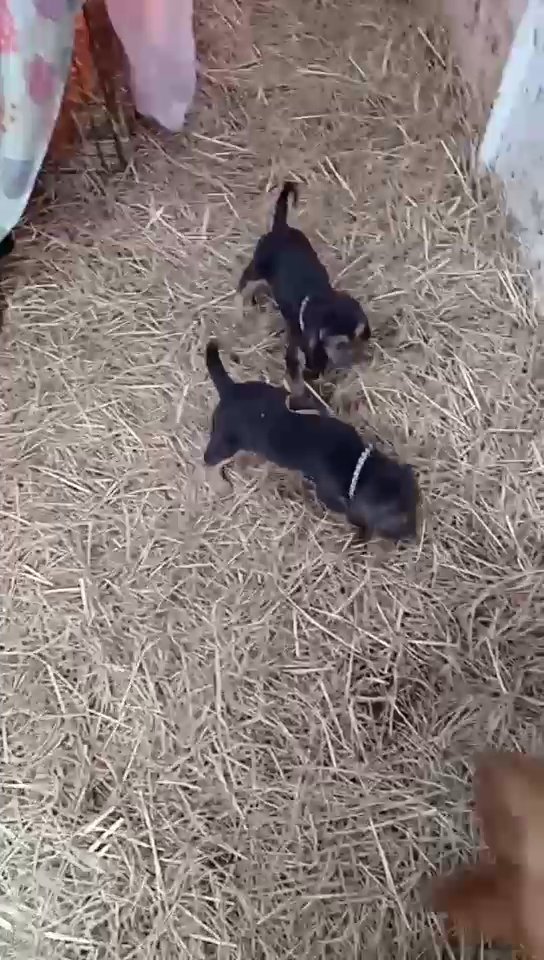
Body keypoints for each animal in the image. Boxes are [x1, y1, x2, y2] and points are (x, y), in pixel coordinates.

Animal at [202, 344, 418, 540]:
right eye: (401, 519)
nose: (414, 537)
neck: (358, 465)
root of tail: (229, 389)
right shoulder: (328, 495)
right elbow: (344, 512)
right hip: (226, 442)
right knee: (209, 460)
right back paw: (221, 486)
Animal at [238, 180, 370, 390]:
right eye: (340, 344)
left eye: (359, 339)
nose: (355, 361)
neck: (316, 300)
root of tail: (281, 228)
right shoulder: (299, 348)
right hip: (257, 267)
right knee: (244, 283)